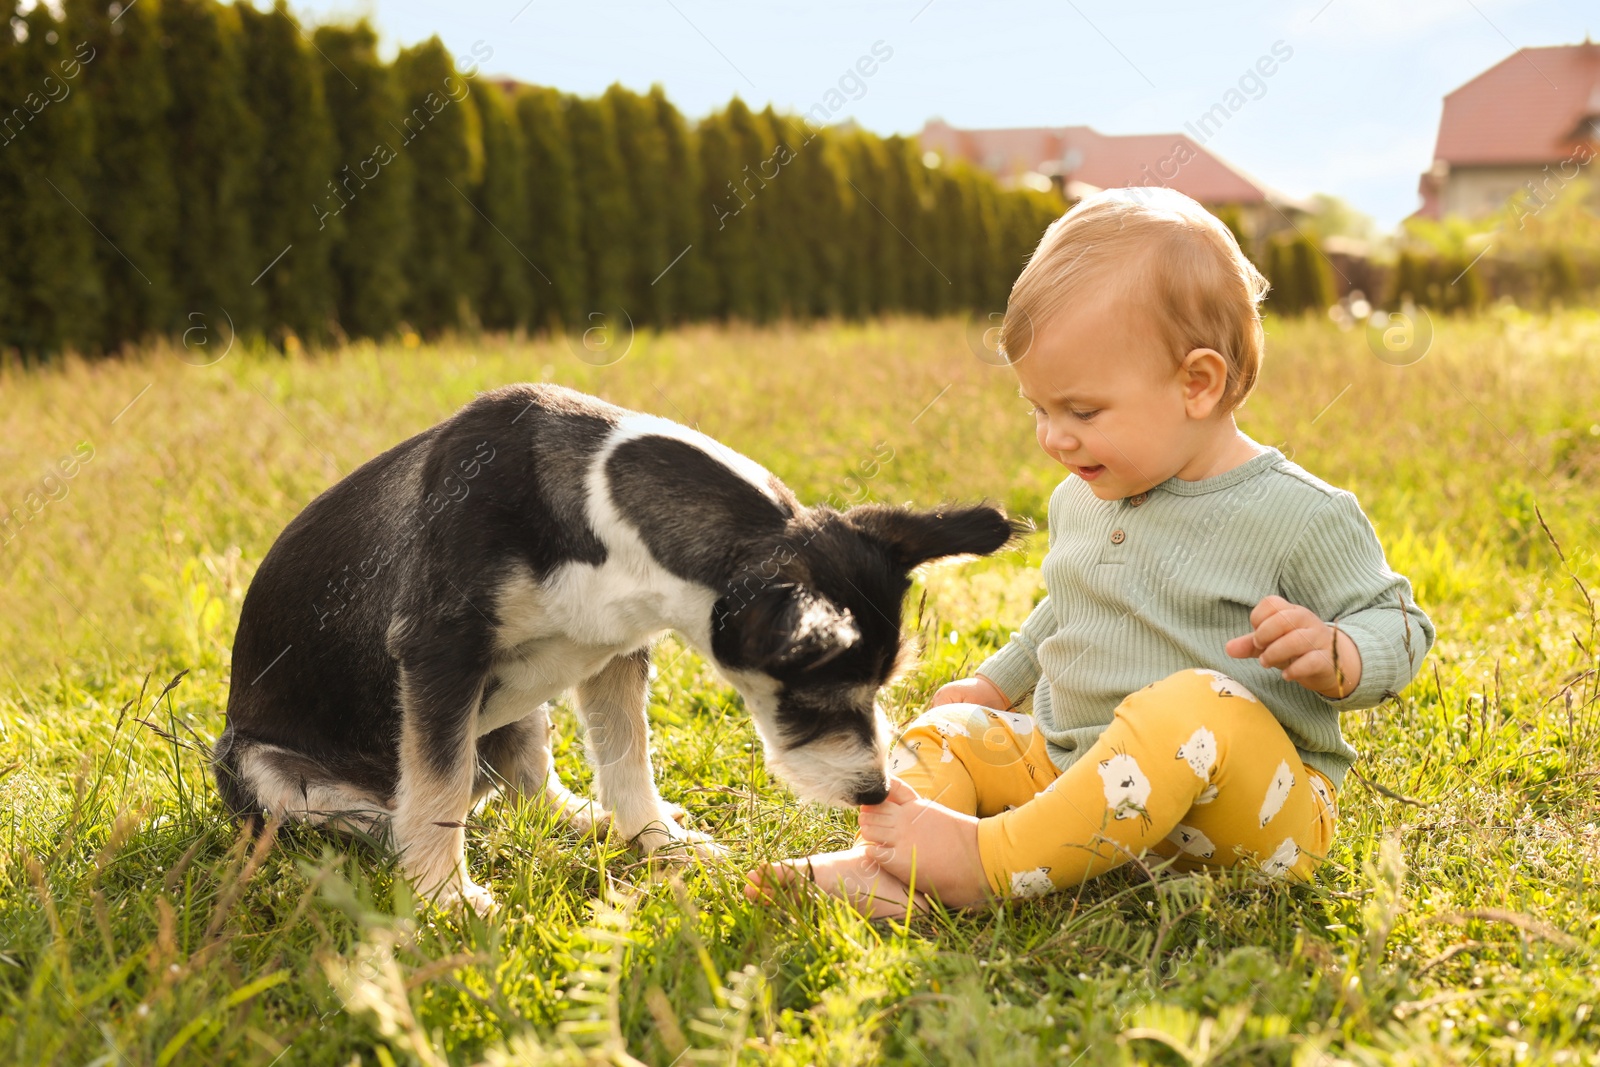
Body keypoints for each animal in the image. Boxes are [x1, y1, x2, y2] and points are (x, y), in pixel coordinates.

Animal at [212, 383, 1017, 908]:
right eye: (815, 700)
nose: (875, 792)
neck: (604, 526)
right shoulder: (440, 652)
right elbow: (437, 784)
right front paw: (445, 894)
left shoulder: (613, 655)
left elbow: (628, 756)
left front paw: (659, 840)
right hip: (254, 764)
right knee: (380, 804)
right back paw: (393, 833)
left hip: (522, 706)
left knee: (525, 777)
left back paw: (580, 820)